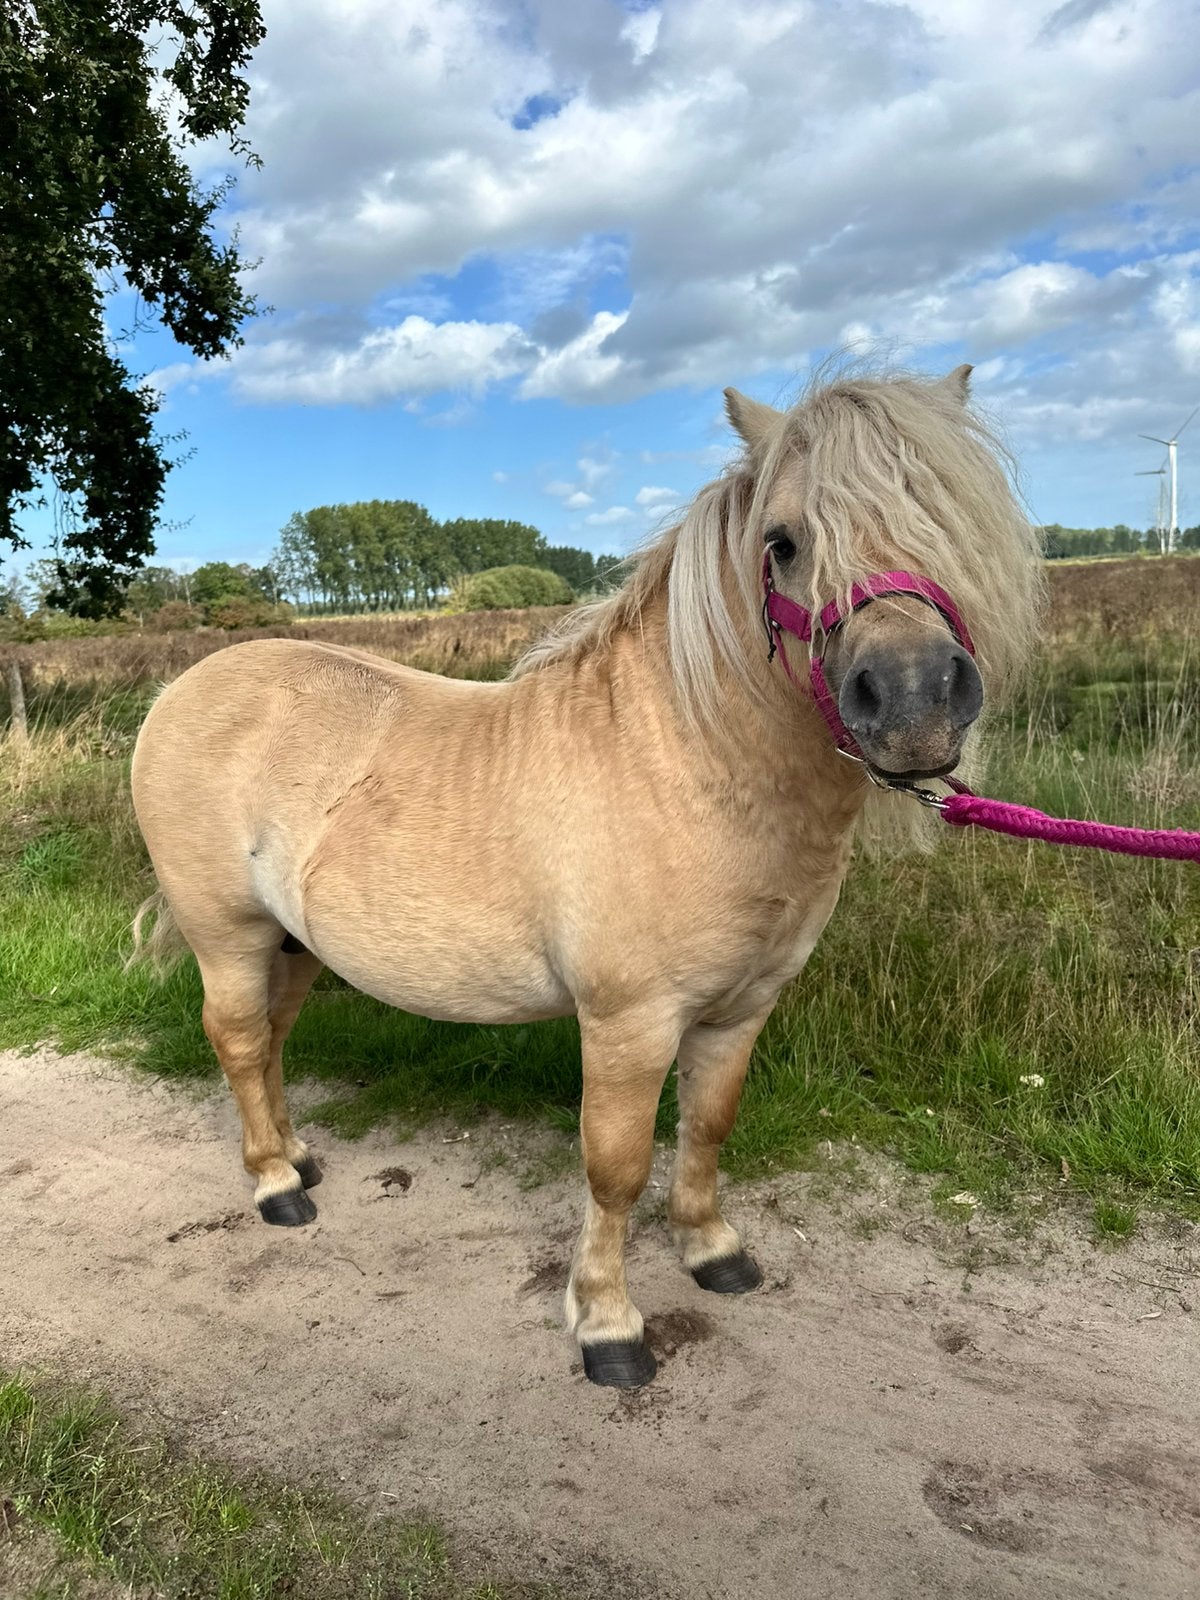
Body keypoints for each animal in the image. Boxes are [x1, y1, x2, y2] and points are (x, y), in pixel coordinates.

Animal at [130, 365, 1041, 1388]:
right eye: (782, 543)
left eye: (951, 520)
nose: (916, 701)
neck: (690, 767)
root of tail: (183, 688)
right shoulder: (628, 1023)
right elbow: (616, 1167)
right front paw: (607, 1325)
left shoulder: (741, 1009)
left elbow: (708, 1127)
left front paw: (713, 1251)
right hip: (228, 934)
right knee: (241, 1041)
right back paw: (277, 1186)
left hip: (292, 943)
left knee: (273, 1042)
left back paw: (298, 1156)